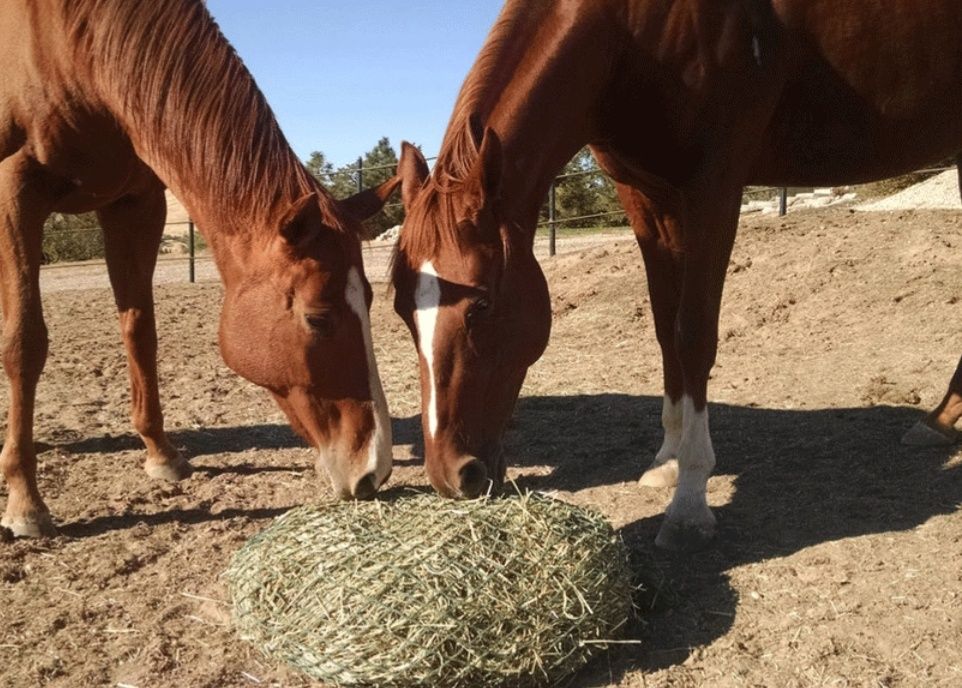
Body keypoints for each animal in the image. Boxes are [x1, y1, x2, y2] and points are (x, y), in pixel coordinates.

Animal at [0, 0, 398, 536]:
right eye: (318, 317)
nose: (375, 468)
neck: (66, 45)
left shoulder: (137, 204)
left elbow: (140, 329)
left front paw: (161, 455)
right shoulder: (15, 192)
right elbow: (25, 342)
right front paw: (25, 501)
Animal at [390, 0, 960, 552]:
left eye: (482, 304)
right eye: (400, 309)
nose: (452, 475)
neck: (632, 27)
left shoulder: (714, 187)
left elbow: (693, 336)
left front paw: (689, 500)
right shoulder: (645, 196)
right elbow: (666, 331)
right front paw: (666, 461)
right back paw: (939, 419)